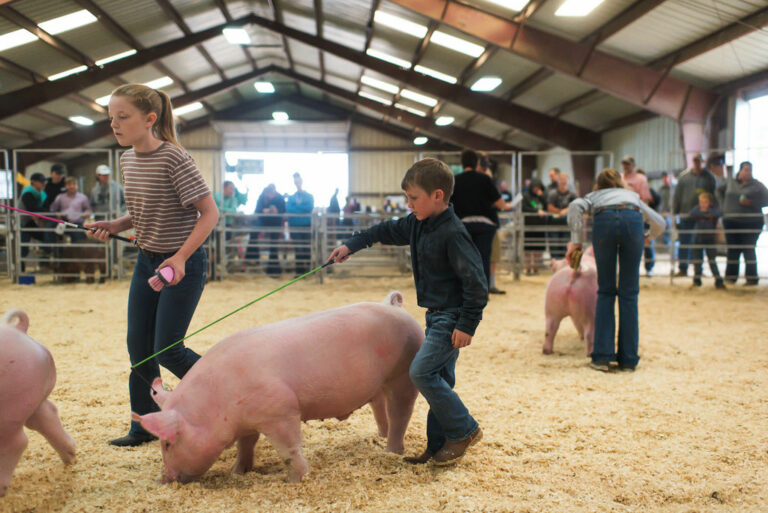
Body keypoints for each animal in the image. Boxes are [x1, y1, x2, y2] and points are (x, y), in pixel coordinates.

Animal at [0, 308, 76, 496]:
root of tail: (18, 331)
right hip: (29, 399)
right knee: (47, 414)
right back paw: (70, 457)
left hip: (10, 409)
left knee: (18, 442)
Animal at [132, 292, 420, 484]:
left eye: (168, 443)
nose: (162, 479)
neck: (217, 403)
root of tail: (393, 305)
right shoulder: (247, 420)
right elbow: (246, 445)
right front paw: (237, 471)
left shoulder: (281, 410)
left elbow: (288, 448)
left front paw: (296, 480)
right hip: (378, 384)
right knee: (379, 406)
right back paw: (381, 437)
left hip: (403, 375)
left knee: (401, 413)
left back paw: (391, 451)